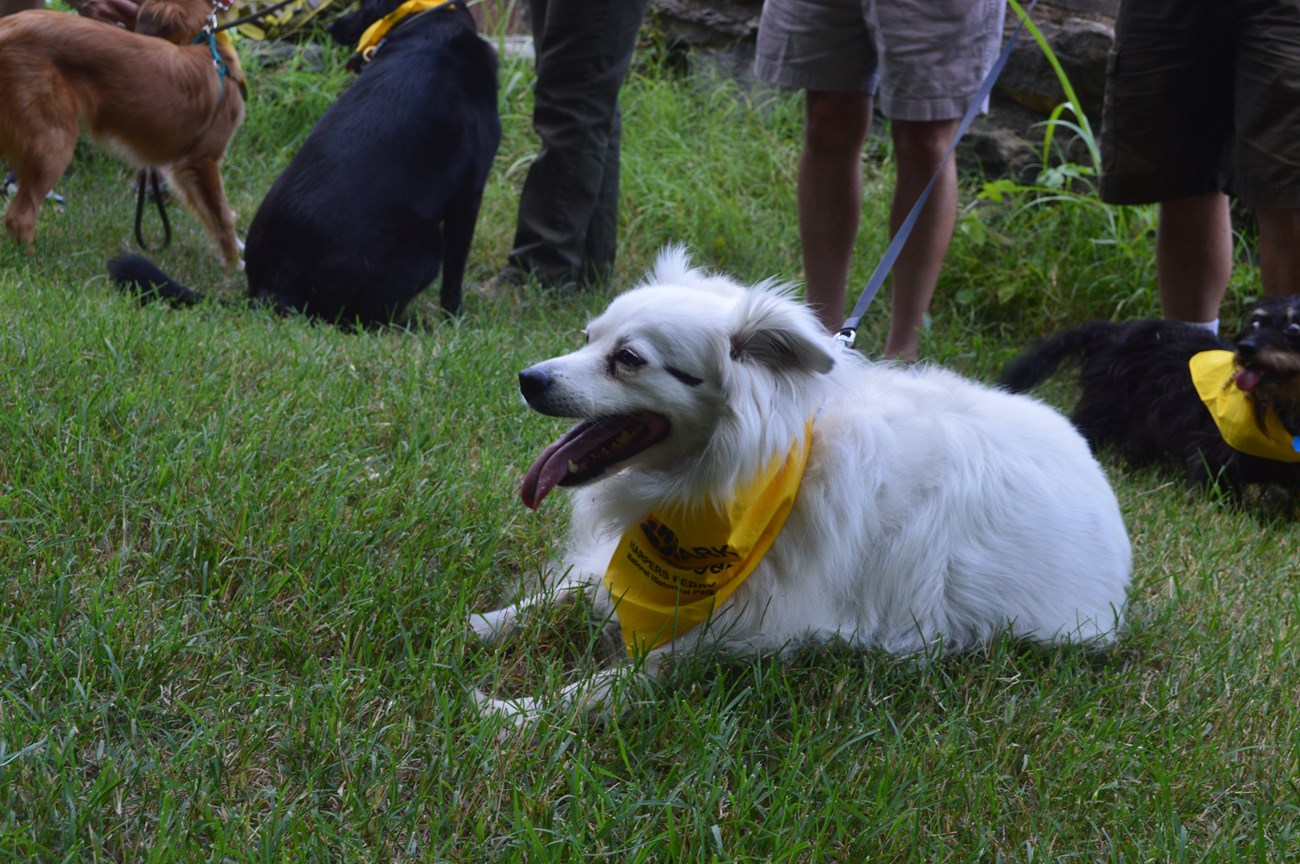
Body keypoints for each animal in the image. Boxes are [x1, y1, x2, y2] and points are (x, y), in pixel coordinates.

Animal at [0, 0, 245, 265]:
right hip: (54, 141)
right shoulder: (202, 159)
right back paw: (33, 259)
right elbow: (222, 218)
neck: (200, 42)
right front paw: (234, 265)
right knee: (19, 217)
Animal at [111, 0, 499, 323]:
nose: (331, 27)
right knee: (361, 319)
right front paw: (454, 318)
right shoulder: (470, 191)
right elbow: (455, 274)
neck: (424, 18)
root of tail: (264, 292)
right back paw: (412, 325)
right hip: (426, 245)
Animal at [473, 249, 1133, 722]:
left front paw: (518, 711)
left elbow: (623, 678)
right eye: (588, 338)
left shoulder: (752, 629)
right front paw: (483, 624)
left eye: (628, 359)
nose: (528, 379)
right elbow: (566, 590)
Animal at [998, 296, 1300, 491]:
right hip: (1109, 402)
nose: (1245, 348)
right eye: (1255, 324)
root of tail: (1114, 330)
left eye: (1292, 329)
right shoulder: (1214, 445)